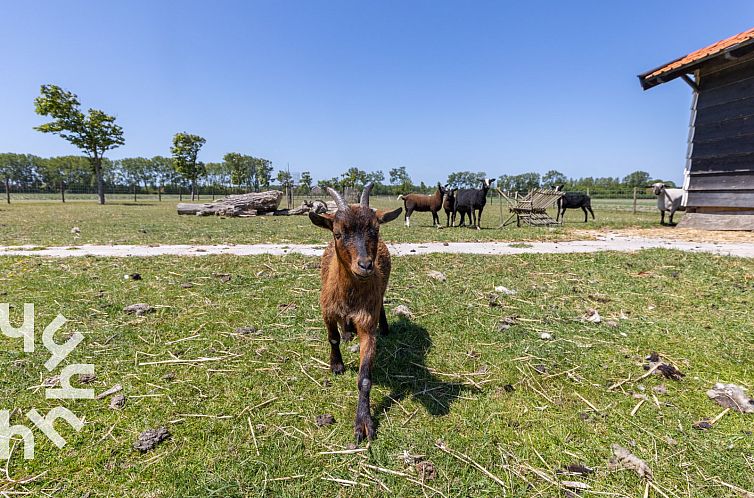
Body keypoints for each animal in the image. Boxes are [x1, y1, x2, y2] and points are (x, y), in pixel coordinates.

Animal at [306, 185, 402, 442]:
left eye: (375, 229)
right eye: (338, 233)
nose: (365, 265)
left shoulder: (367, 323)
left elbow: (365, 378)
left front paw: (364, 423)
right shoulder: (327, 310)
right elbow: (332, 338)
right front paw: (337, 365)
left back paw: (384, 327)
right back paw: (347, 332)